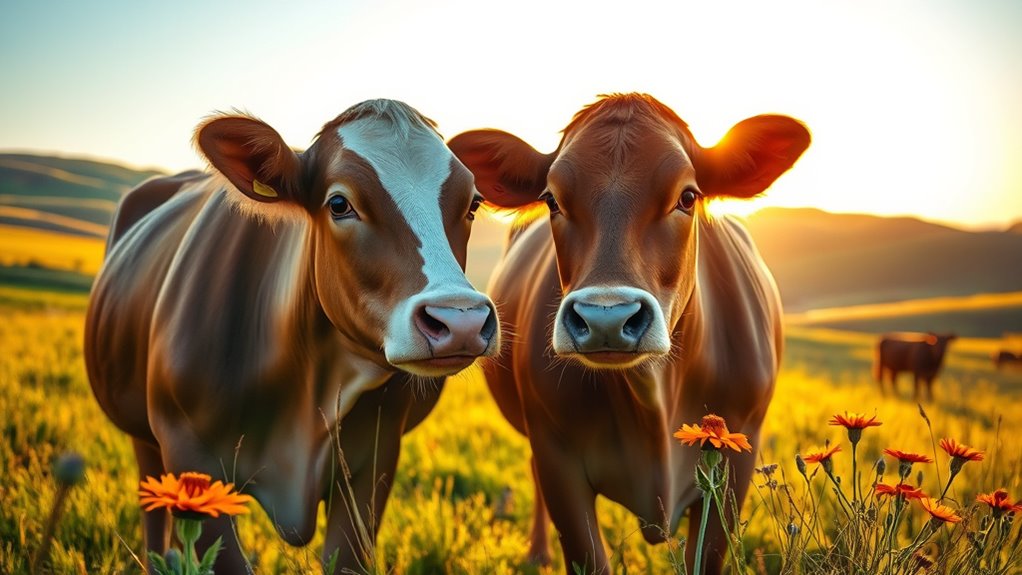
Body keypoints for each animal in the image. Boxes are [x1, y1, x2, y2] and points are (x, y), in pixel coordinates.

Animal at [84, 99, 500, 573]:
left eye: (473, 203)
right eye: (338, 203)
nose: (460, 319)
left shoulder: (373, 461)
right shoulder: (188, 452)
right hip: (145, 440)